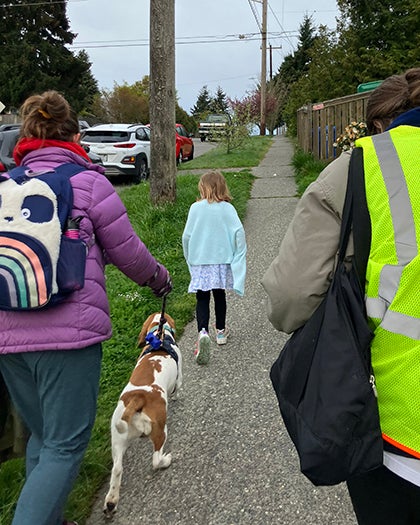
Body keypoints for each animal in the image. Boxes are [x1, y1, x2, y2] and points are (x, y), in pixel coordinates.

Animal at [103, 312, 182, 516]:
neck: (159, 335)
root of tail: (138, 399)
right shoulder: (180, 377)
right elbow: (178, 387)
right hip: (160, 430)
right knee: (155, 460)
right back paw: (166, 460)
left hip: (117, 438)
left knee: (117, 469)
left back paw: (111, 502)